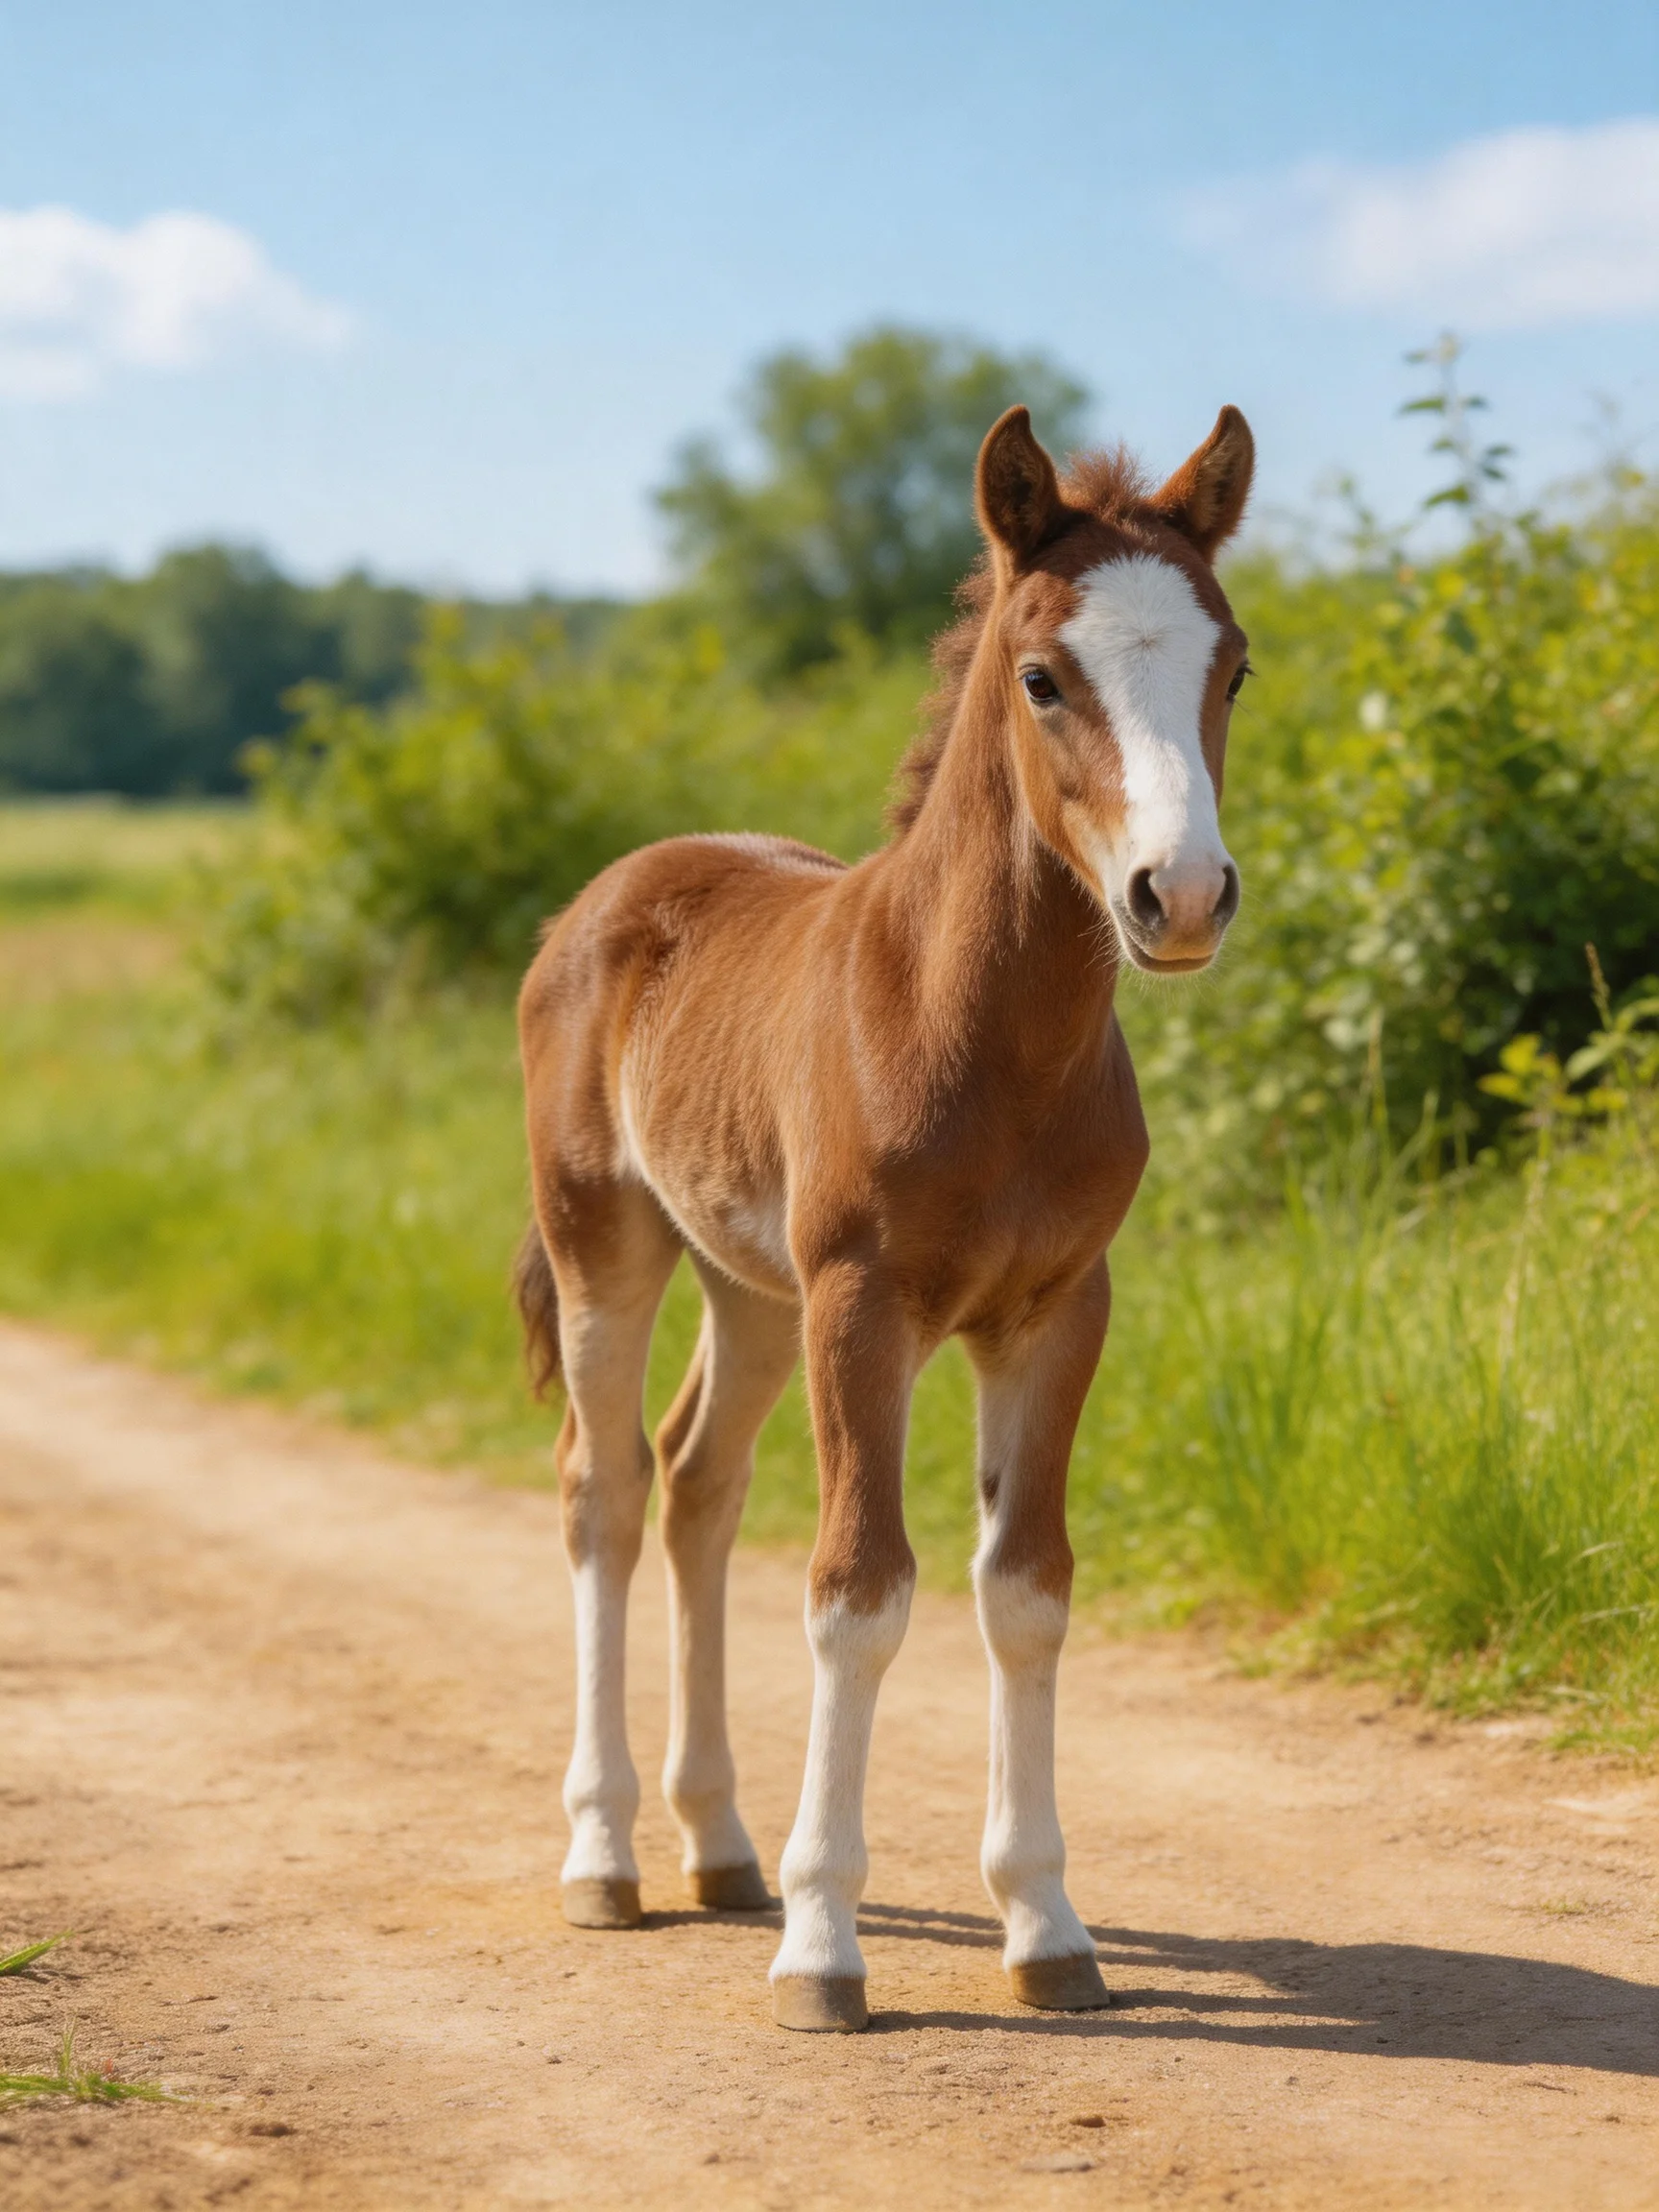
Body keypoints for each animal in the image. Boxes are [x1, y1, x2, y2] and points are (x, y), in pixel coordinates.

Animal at [515, 400, 1254, 2032]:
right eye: (1043, 677)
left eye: (1233, 665)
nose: (1179, 896)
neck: (979, 1035)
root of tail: (607, 893)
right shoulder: (865, 1304)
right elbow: (859, 1592)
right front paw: (823, 1948)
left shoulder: (1057, 1311)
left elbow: (1024, 1590)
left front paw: (1047, 1929)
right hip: (614, 1245)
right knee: (602, 1488)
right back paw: (606, 1859)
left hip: (750, 1287)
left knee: (696, 1482)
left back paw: (721, 1848)